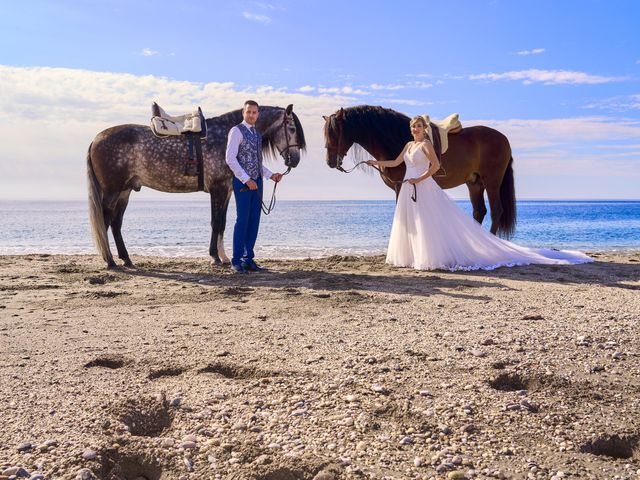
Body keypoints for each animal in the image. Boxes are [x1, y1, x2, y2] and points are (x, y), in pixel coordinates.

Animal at [87, 105, 304, 268]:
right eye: (292, 129)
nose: (295, 160)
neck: (226, 135)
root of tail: (96, 138)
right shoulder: (217, 190)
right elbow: (216, 223)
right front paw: (215, 257)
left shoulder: (226, 191)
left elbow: (222, 223)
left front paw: (223, 257)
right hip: (112, 191)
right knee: (105, 220)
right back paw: (110, 261)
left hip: (125, 191)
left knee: (116, 223)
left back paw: (126, 259)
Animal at [322, 107, 516, 238]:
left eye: (334, 133)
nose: (330, 162)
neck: (394, 138)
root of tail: (504, 139)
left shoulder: (400, 186)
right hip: (474, 183)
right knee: (479, 211)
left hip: (492, 181)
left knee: (496, 210)